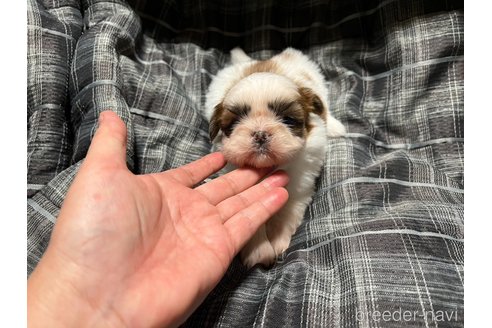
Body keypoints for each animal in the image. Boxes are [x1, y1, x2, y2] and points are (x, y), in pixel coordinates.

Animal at [204, 48, 346, 270]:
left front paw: (278, 239)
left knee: (325, 107)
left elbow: (286, 210)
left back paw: (335, 126)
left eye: (288, 120)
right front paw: (259, 251)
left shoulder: (300, 185)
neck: (271, 166)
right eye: (234, 123)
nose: (261, 134)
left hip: (316, 80)